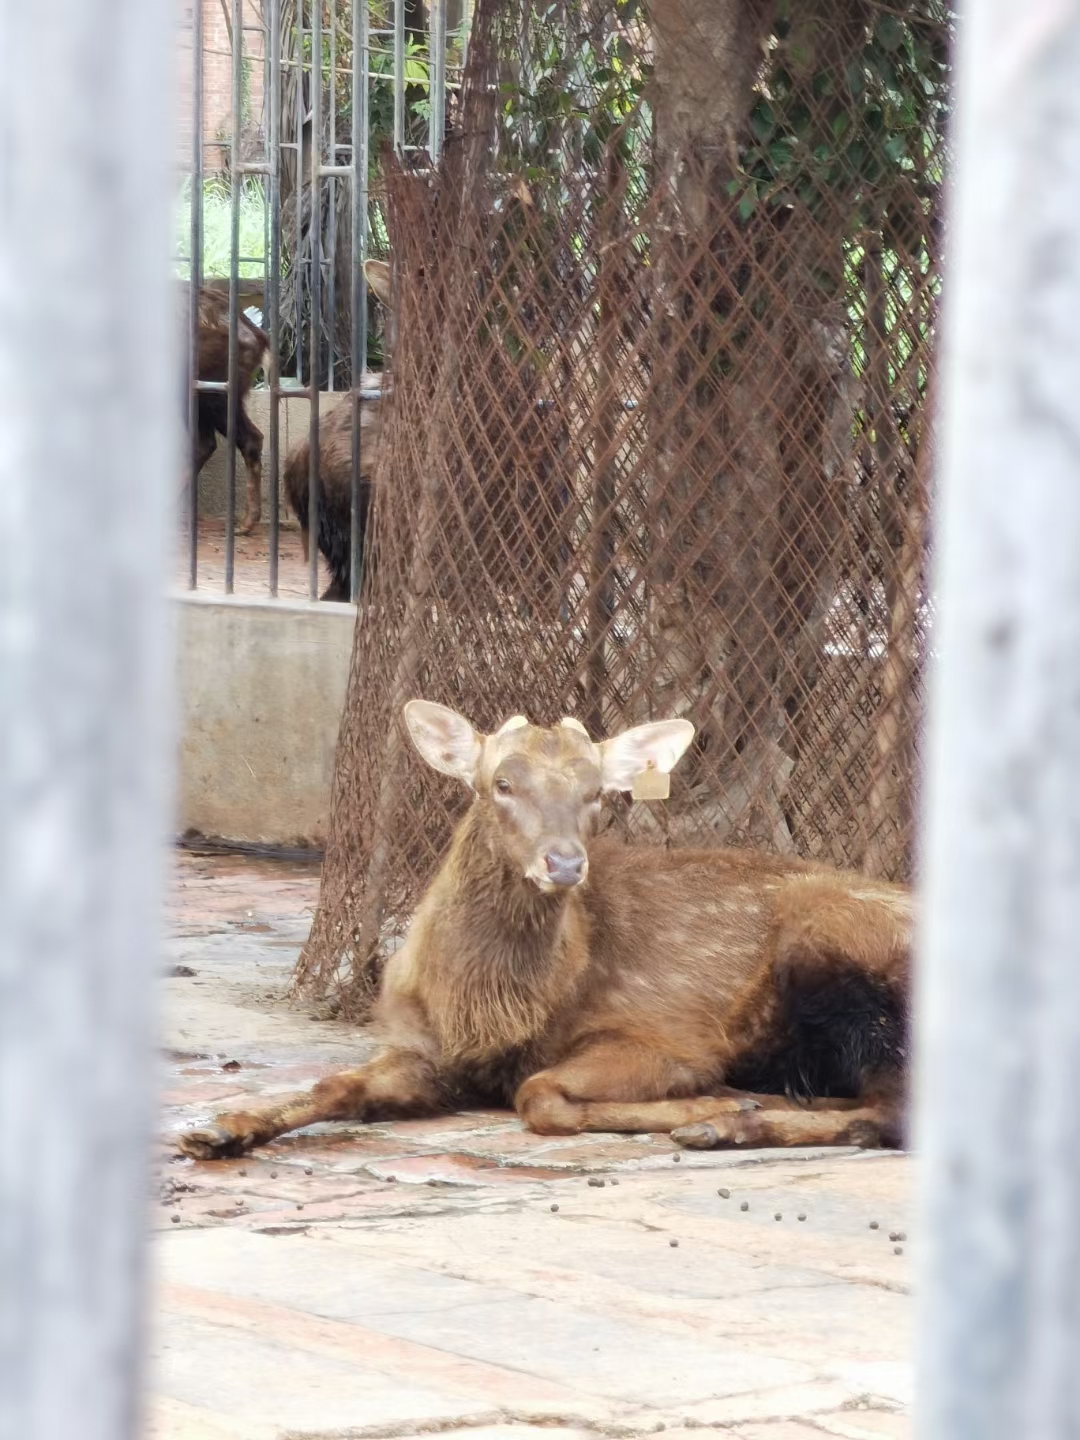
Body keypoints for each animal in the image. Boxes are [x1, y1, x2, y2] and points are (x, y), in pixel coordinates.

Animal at [179, 702, 912, 1162]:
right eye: (502, 782)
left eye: (596, 792)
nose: (563, 862)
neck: (491, 1011)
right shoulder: (422, 1048)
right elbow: (334, 1087)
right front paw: (220, 1131)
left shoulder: (669, 1038)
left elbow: (539, 1096)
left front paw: (703, 1108)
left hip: (840, 955)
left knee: (891, 1113)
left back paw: (725, 1126)